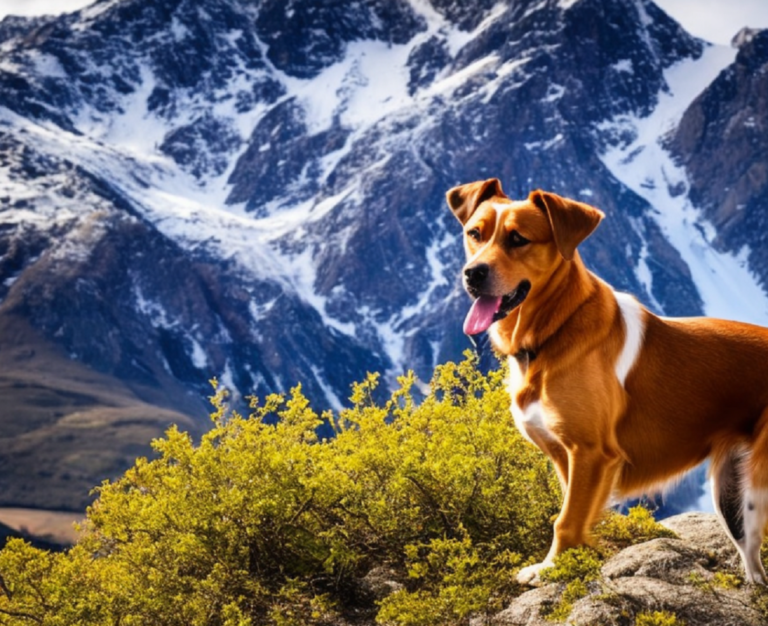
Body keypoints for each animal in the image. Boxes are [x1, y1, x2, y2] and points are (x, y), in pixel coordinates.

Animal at [448, 177, 768, 584]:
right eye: (474, 233)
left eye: (518, 239)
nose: (472, 274)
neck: (555, 329)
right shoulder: (567, 458)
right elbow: (574, 513)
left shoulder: (591, 452)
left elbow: (566, 521)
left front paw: (551, 568)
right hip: (731, 492)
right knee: (753, 559)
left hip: (759, 479)